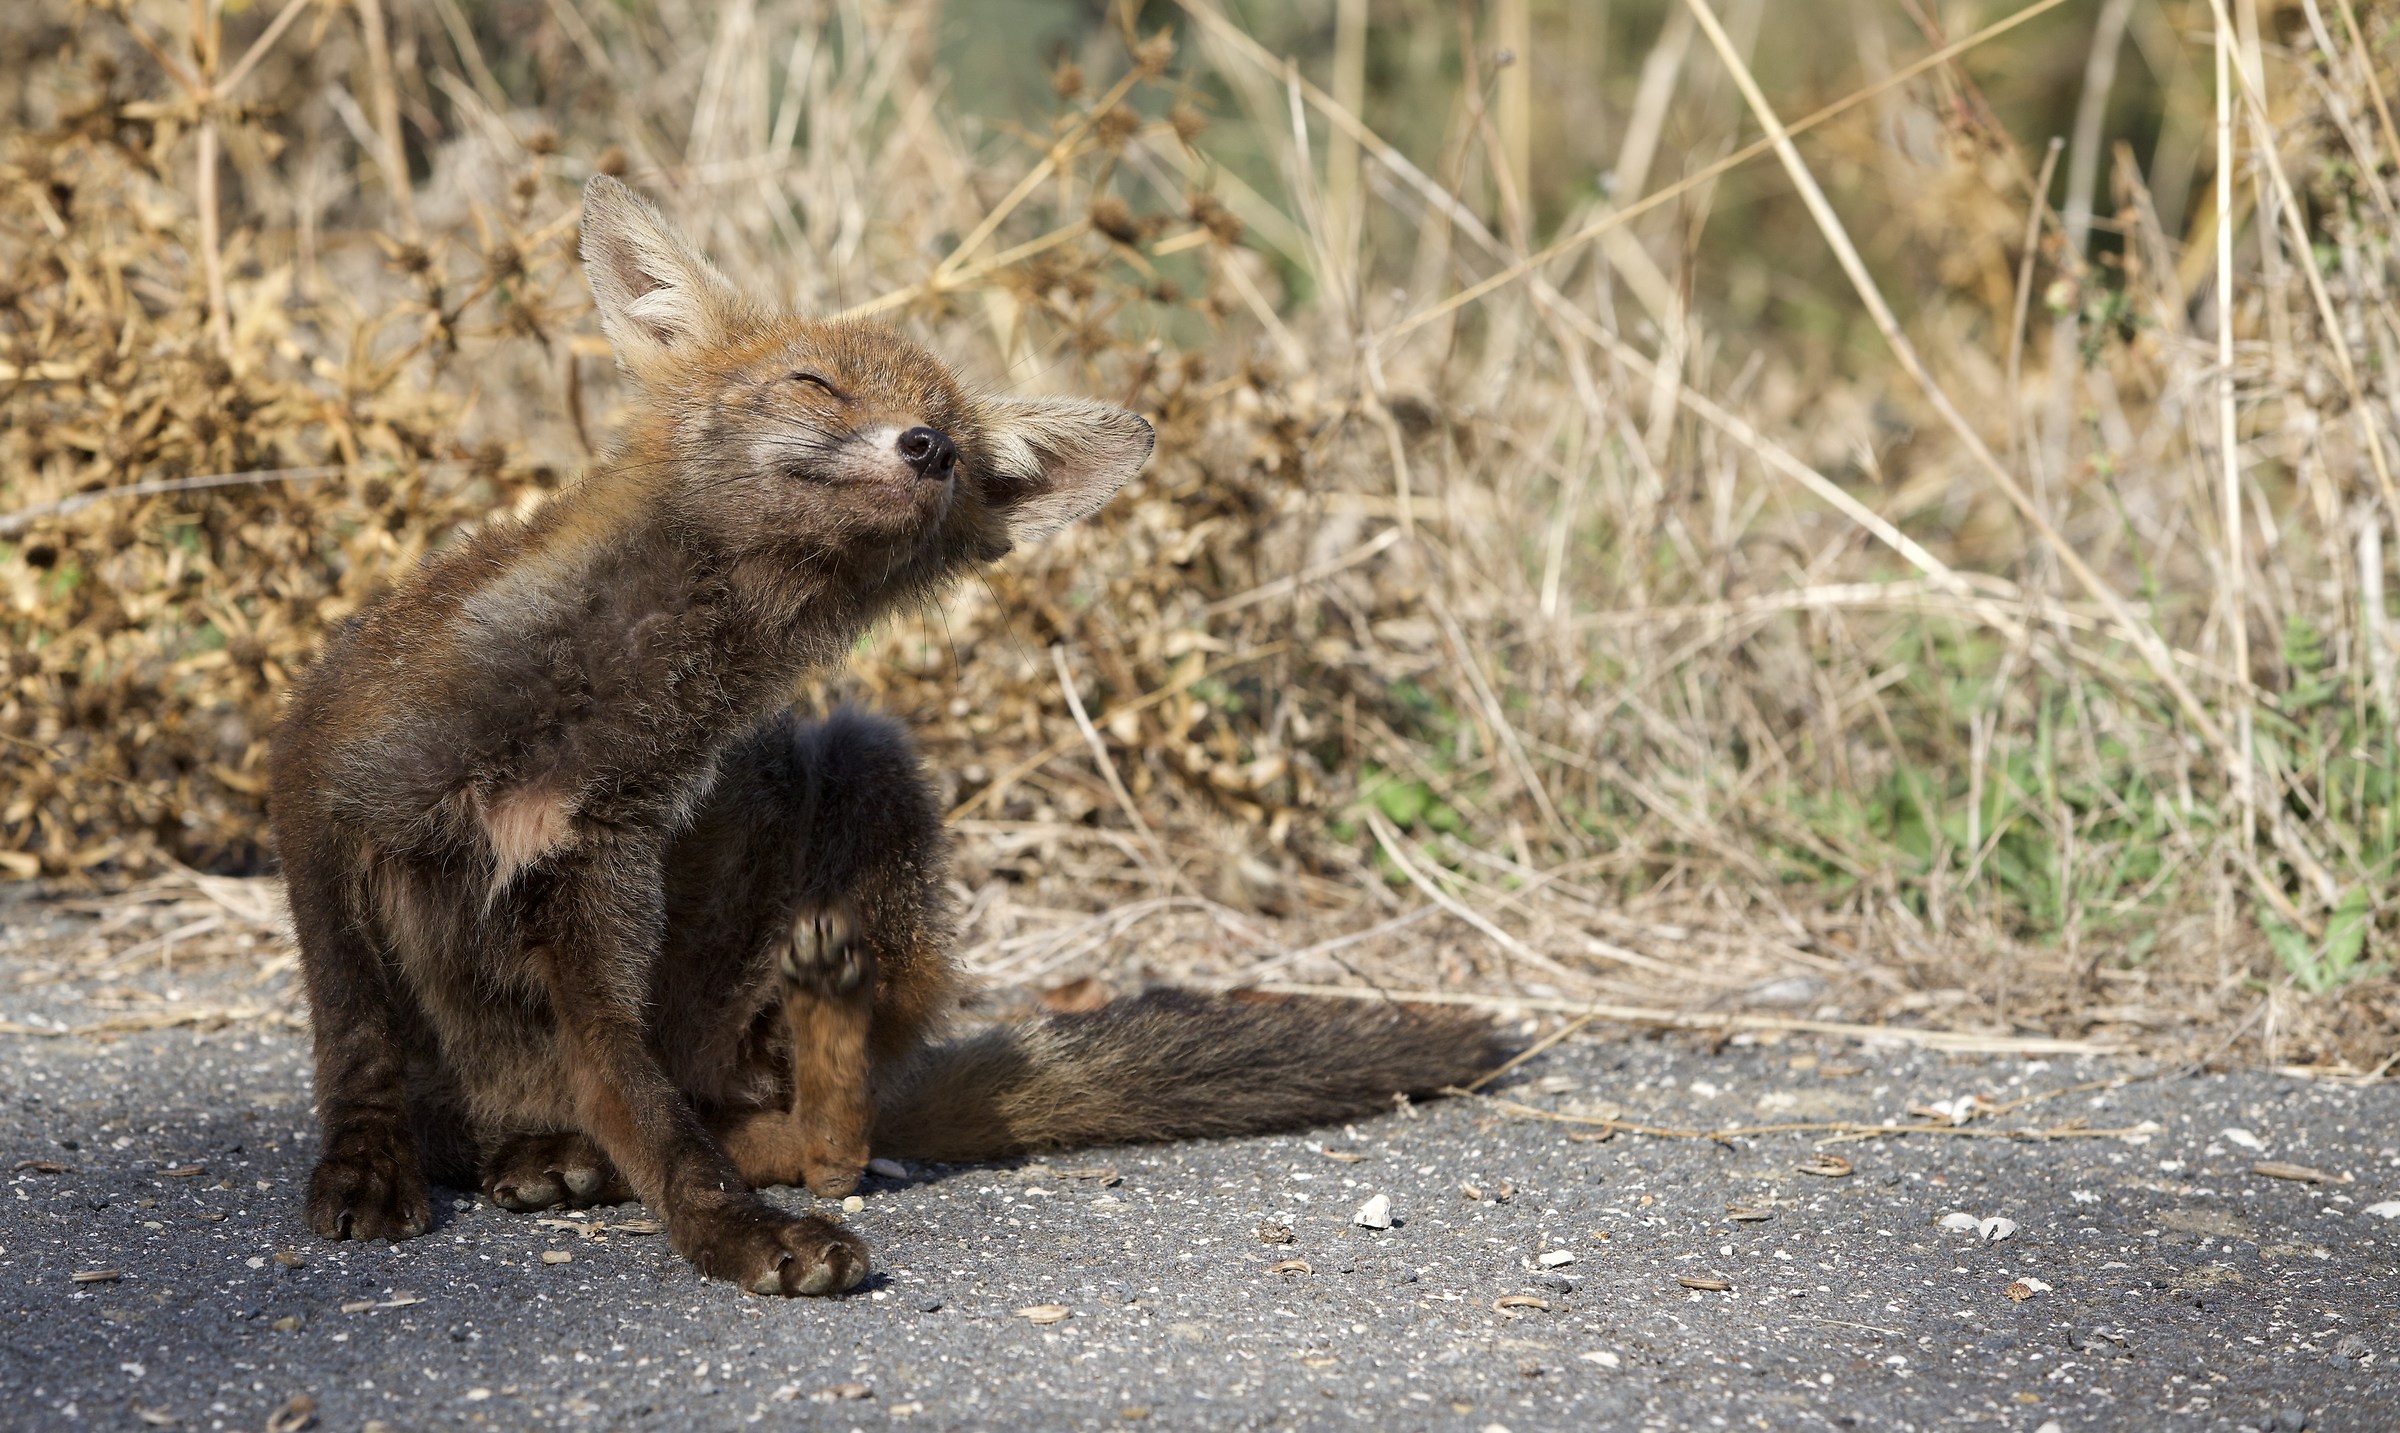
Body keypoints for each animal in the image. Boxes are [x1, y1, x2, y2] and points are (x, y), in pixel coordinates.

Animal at [267, 174, 1502, 1297]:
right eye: (814, 381)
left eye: (953, 438)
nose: (924, 448)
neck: (572, 720)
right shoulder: (322, 796)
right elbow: (358, 1038)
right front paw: (364, 1167)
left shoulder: (599, 912)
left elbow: (671, 1141)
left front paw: (739, 1236)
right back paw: (537, 1151)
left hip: (863, 760)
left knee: (819, 1140)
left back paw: (806, 1046)